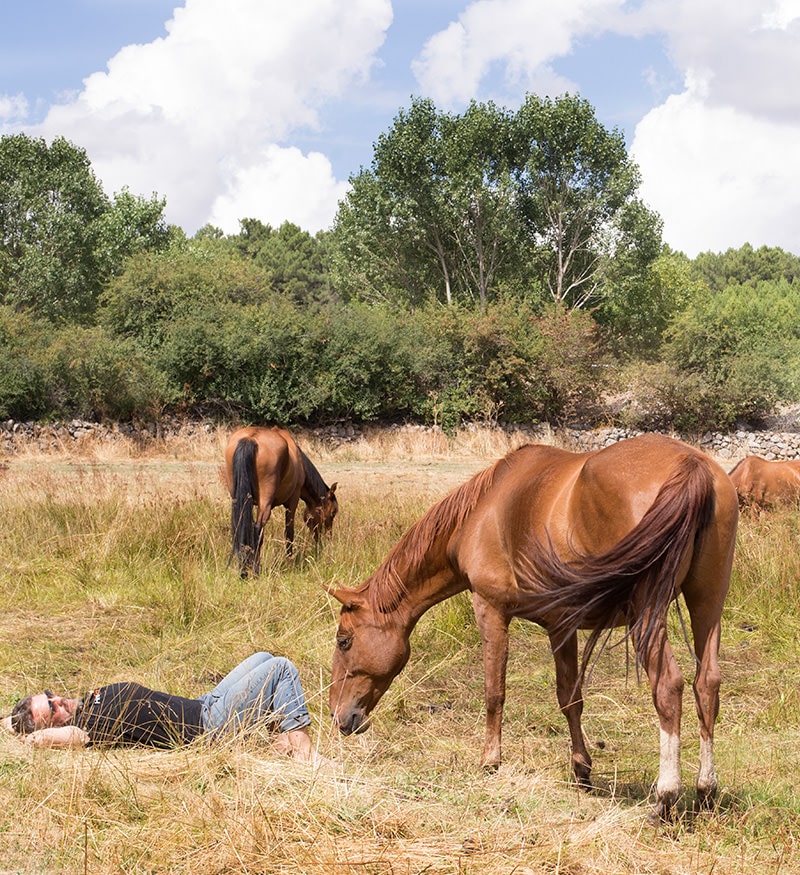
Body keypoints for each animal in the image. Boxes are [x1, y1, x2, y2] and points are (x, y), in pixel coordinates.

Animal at [223, 428, 340, 580]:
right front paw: (290, 562)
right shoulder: (292, 502)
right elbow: (289, 533)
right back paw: (255, 571)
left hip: (238, 498)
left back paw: (243, 570)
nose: (328, 539)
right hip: (265, 503)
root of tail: (250, 438)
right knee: (257, 530)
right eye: (332, 513)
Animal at [328, 434, 740, 824]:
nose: (339, 718)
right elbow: (570, 698)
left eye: (344, 641)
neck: (482, 511)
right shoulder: (562, 626)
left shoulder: (490, 610)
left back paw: (665, 799)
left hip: (648, 615)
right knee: (707, 685)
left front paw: (490, 760)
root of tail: (690, 464)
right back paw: (705, 791)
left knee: (668, 687)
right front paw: (581, 770)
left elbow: (494, 691)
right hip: (707, 603)